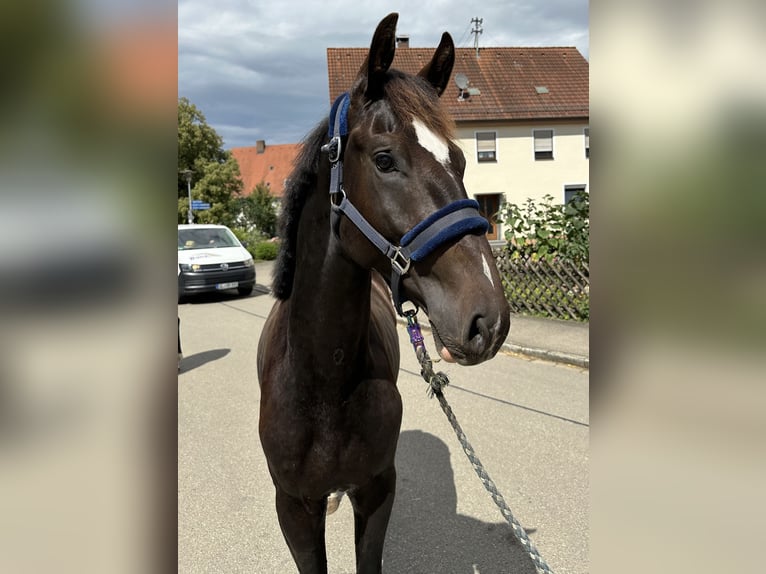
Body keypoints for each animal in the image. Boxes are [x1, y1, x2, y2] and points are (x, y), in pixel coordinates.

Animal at [256, 13, 510, 574]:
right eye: (384, 159)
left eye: (461, 160)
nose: (489, 320)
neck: (323, 385)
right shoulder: (292, 509)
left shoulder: (376, 492)